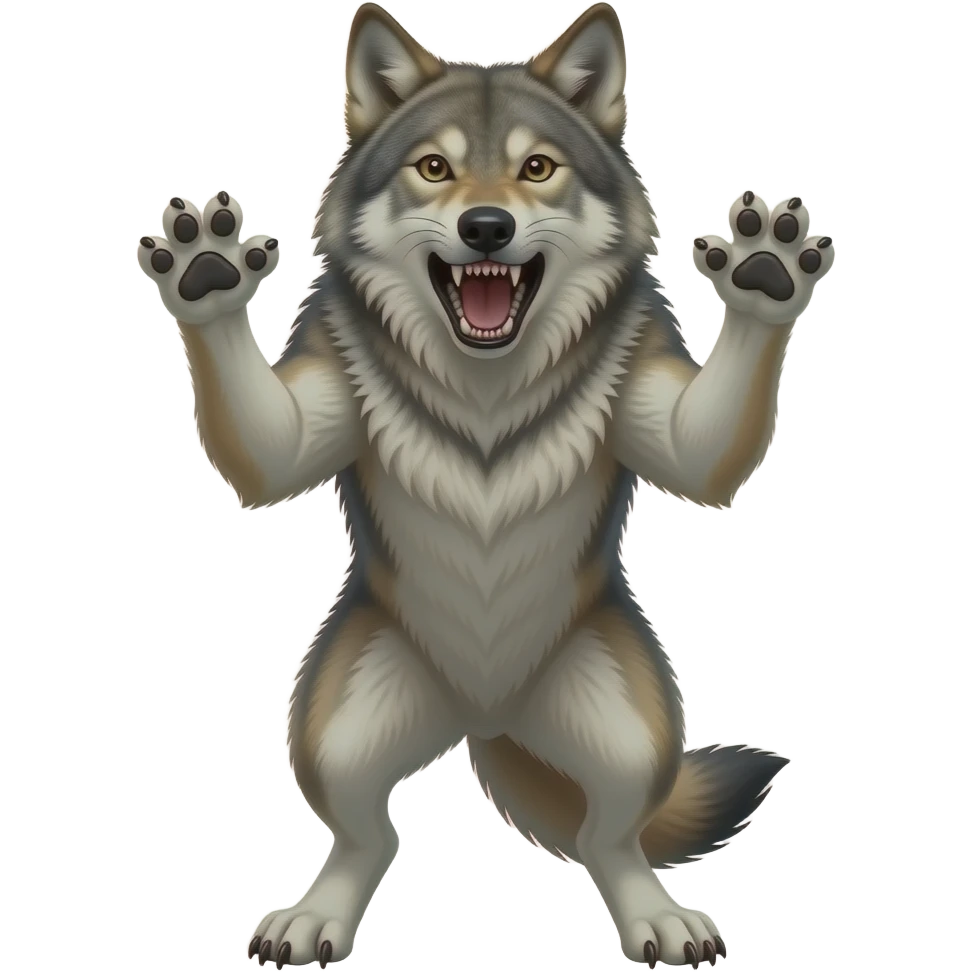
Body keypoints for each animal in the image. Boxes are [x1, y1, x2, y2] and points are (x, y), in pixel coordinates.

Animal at [137, 2, 835, 967]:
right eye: (435, 168)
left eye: (537, 168)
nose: (487, 230)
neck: (486, 386)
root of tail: (486, 713)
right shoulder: (303, 415)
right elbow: (270, 451)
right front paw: (207, 276)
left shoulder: (670, 416)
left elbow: (703, 454)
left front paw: (764, 276)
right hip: (330, 726)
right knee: (370, 837)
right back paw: (316, 917)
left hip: (637, 728)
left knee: (608, 839)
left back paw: (657, 919)